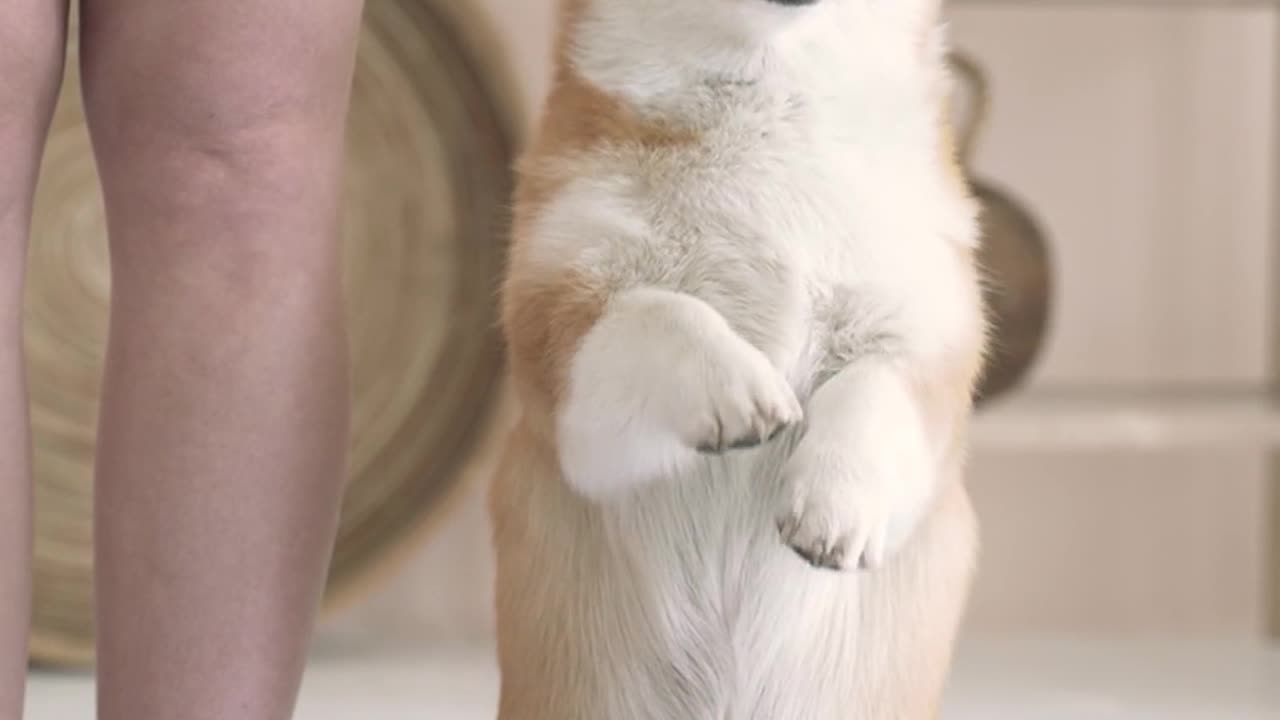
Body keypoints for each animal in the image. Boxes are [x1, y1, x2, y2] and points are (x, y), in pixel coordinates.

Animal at [488, 1, 988, 712]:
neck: (771, 96)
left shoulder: (927, 341)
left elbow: (868, 393)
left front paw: (836, 507)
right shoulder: (566, 353)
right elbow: (662, 312)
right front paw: (737, 391)